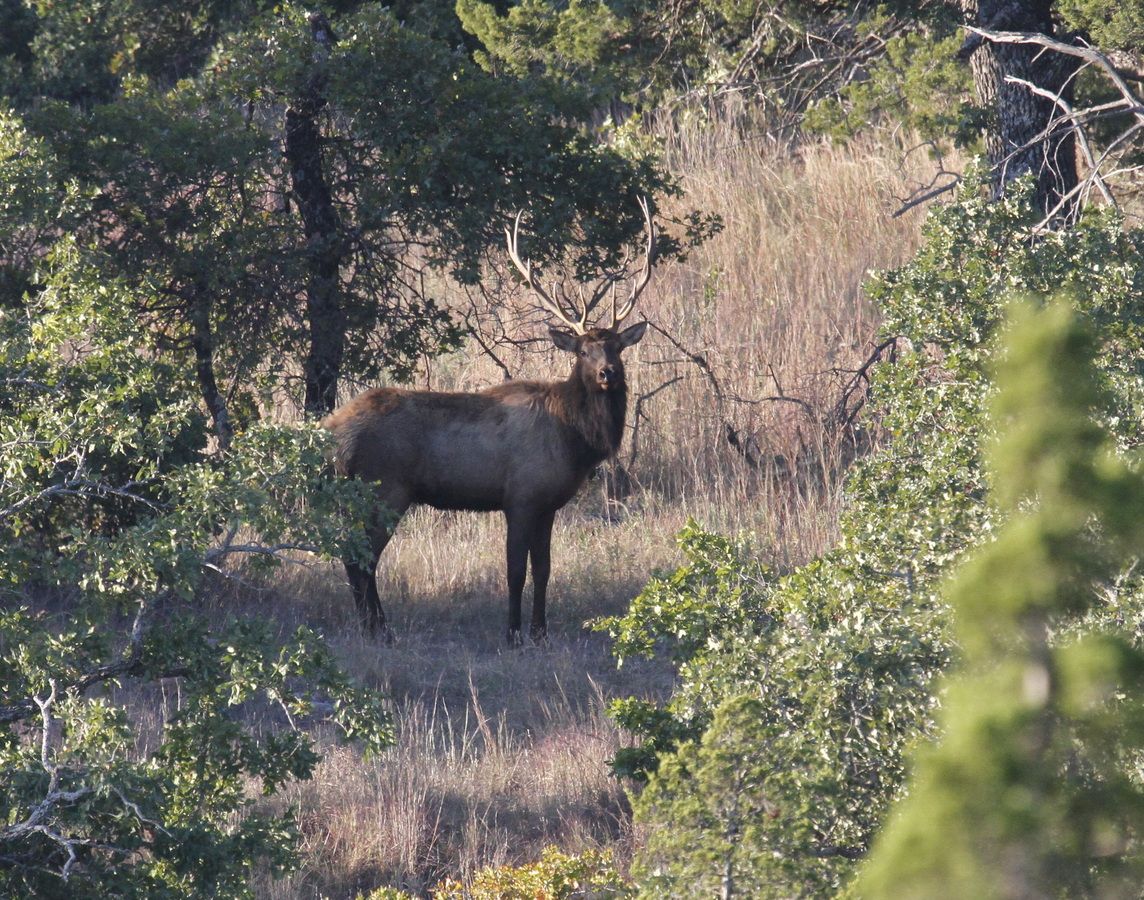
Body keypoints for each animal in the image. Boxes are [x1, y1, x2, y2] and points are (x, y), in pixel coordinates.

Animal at [327, 200, 658, 644]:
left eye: (617, 348)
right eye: (582, 351)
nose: (608, 373)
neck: (574, 439)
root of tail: (332, 433)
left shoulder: (548, 504)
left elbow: (544, 570)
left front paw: (540, 632)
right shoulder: (520, 496)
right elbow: (515, 571)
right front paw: (513, 634)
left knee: (357, 556)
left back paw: (376, 627)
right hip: (384, 488)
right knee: (358, 557)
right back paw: (379, 630)